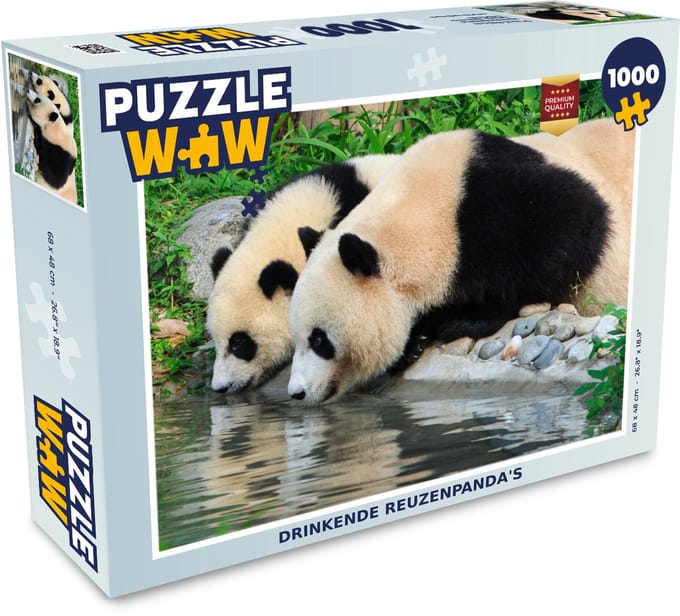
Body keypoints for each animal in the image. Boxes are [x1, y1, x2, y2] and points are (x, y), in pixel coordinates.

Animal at [287, 117, 634, 405]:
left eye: (319, 340)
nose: (296, 392)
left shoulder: (504, 201)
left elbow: (573, 233)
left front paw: (454, 321)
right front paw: (414, 341)